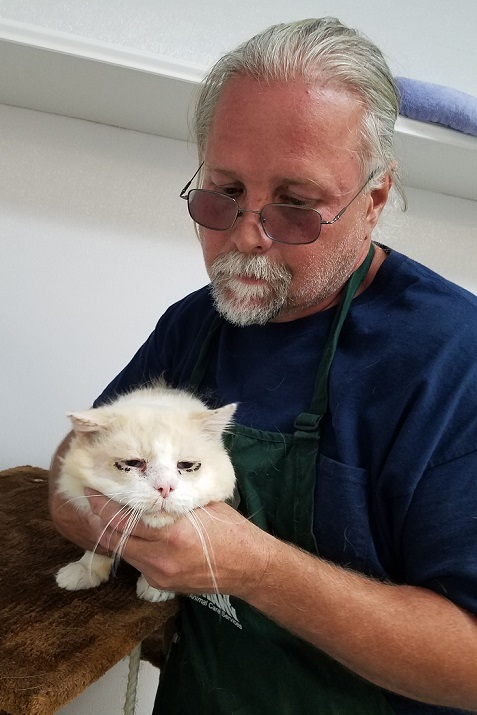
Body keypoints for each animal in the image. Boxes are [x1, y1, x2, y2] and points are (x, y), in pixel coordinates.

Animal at [55, 384, 236, 600]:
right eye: (132, 463)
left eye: (187, 465)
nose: (165, 487)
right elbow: (96, 547)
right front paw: (86, 570)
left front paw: (156, 590)